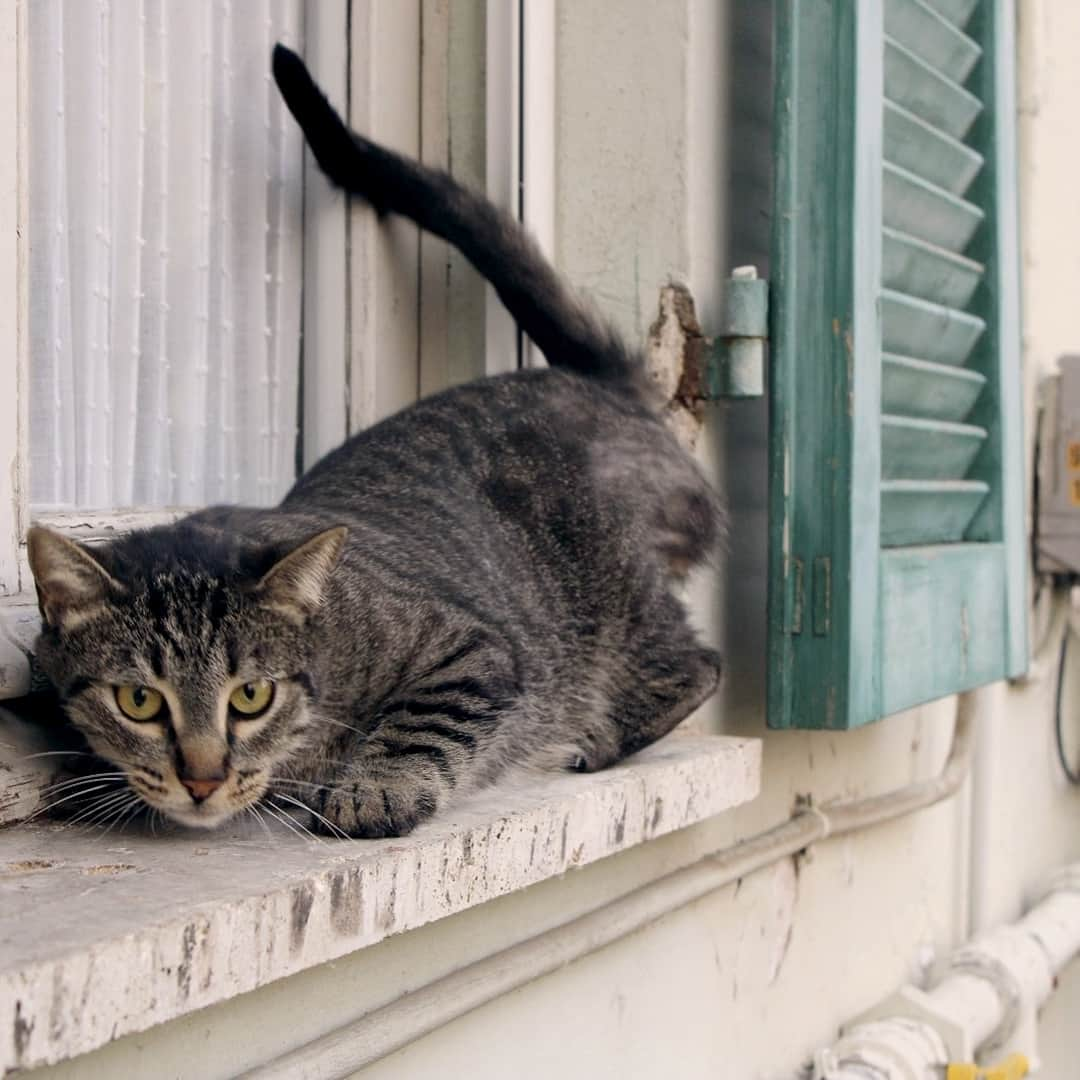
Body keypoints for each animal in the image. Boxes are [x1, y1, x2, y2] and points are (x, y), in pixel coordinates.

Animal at [25, 46, 721, 838]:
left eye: (250, 696)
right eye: (139, 701)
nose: (203, 778)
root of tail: (596, 381)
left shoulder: (472, 647)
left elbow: (423, 721)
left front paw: (375, 787)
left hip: (615, 602)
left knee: (697, 663)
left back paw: (597, 736)